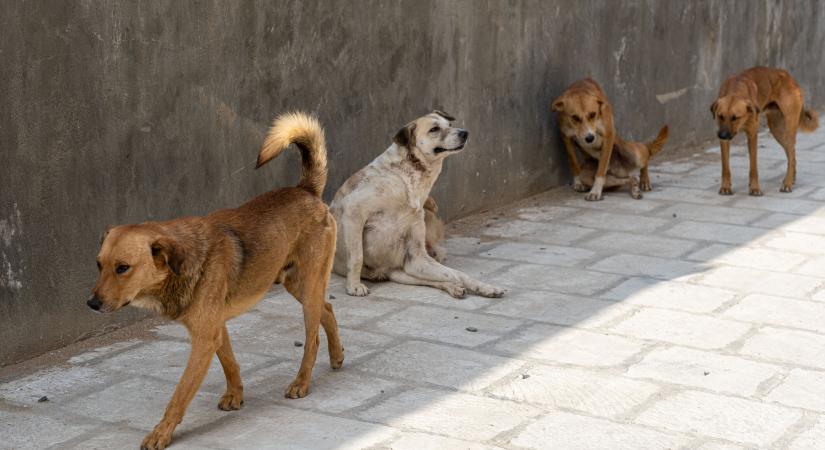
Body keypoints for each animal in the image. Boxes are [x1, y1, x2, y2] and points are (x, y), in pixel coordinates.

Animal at [85, 112, 340, 450]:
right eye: (99, 264)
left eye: (123, 268)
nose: (91, 303)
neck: (181, 266)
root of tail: (305, 190)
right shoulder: (215, 328)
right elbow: (229, 361)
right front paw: (235, 395)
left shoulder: (204, 338)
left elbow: (180, 394)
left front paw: (161, 433)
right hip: (295, 284)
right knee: (328, 309)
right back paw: (338, 356)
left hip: (307, 287)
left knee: (312, 338)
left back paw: (301, 381)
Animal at [328, 110, 502, 298]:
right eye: (434, 129)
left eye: (449, 125)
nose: (465, 133)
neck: (409, 177)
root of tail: (384, 271)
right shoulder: (354, 211)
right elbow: (357, 256)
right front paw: (354, 286)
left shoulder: (417, 258)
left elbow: (458, 274)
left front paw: (484, 286)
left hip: (407, 271)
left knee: (442, 278)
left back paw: (456, 287)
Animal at [708, 66, 816, 194]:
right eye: (720, 116)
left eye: (735, 117)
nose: (722, 135)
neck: (736, 88)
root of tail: (788, 77)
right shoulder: (724, 140)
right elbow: (725, 167)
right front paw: (725, 187)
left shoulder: (752, 134)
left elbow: (753, 167)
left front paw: (754, 188)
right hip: (777, 130)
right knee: (792, 154)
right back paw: (791, 178)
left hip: (789, 128)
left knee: (791, 152)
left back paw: (787, 183)